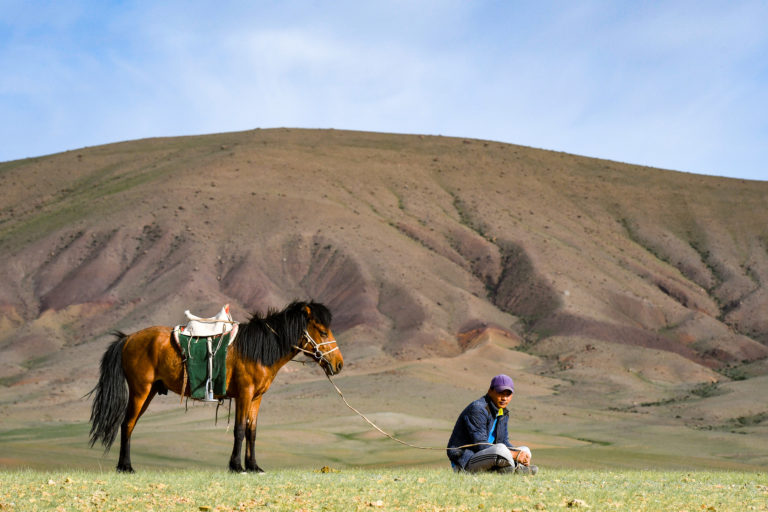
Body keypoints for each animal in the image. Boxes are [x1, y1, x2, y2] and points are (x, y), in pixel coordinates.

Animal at [88, 300, 344, 472]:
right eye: (323, 332)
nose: (339, 364)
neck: (257, 349)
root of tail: (128, 338)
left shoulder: (256, 397)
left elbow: (252, 431)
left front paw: (254, 466)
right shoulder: (244, 394)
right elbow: (239, 430)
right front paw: (236, 466)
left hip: (149, 391)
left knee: (129, 424)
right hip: (140, 391)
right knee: (127, 424)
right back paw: (126, 466)